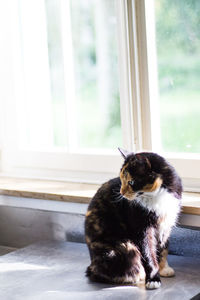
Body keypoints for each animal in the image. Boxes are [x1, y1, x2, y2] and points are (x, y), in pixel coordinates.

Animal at [85, 149, 182, 290]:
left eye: (131, 182)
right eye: (121, 179)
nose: (122, 192)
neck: (156, 196)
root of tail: (91, 264)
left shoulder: (166, 225)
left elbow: (163, 248)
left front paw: (164, 269)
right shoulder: (141, 227)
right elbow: (148, 253)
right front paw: (153, 279)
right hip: (123, 247)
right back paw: (138, 275)